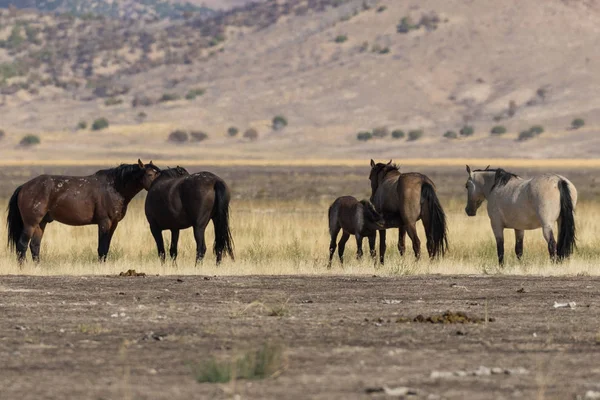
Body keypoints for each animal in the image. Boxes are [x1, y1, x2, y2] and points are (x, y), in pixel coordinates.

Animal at [8, 159, 162, 262]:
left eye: (158, 173)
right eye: (149, 174)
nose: (158, 186)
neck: (114, 187)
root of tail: (24, 187)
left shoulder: (113, 224)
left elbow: (106, 247)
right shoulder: (104, 222)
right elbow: (101, 247)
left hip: (41, 223)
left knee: (35, 246)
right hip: (30, 224)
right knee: (22, 245)